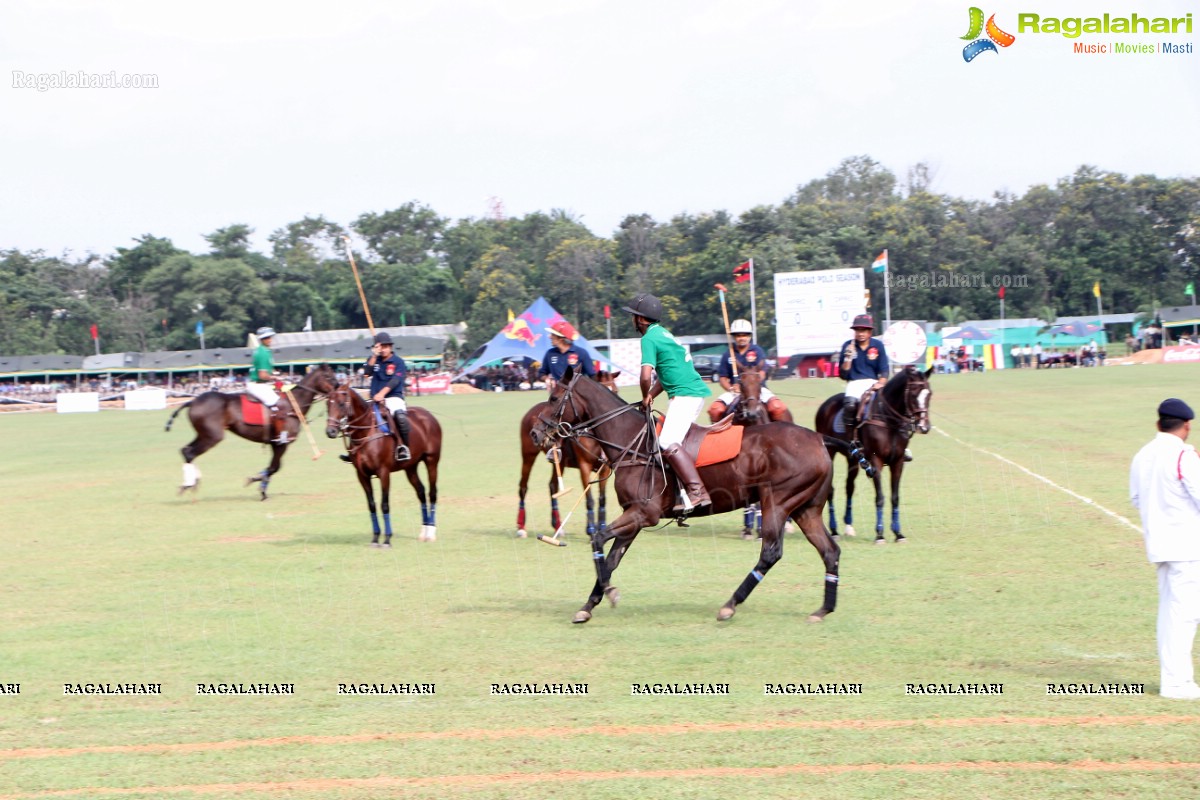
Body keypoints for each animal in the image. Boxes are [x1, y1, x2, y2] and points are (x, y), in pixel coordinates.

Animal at [162, 364, 336, 501]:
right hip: (213, 436)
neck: (294, 404)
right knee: (190, 452)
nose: (339, 390)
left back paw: (192, 482)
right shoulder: (282, 442)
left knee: (186, 450)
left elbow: (273, 467)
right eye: (329, 376)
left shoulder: (275, 443)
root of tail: (193, 401)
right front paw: (257, 483)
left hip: (203, 434)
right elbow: (273, 467)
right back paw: (190, 484)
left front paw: (260, 484)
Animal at [326, 381, 444, 544]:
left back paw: (431, 532)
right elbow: (372, 505)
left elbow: (385, 504)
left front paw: (387, 539)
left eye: (342, 404)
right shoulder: (362, 475)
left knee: (432, 493)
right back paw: (424, 531)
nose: (330, 432)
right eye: (327, 404)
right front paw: (375, 538)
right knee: (420, 491)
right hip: (410, 467)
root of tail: (428, 415)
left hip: (432, 460)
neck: (365, 432)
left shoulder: (384, 472)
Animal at [513, 371, 619, 542]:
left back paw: (558, 526)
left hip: (559, 462)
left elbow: (602, 499)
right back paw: (521, 528)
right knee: (523, 486)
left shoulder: (605, 469)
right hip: (528, 454)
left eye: (615, 390)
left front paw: (601, 528)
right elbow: (589, 499)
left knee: (552, 486)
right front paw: (591, 530)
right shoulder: (584, 466)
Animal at [530, 367, 840, 623]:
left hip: (777, 501)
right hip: (805, 508)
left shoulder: (644, 514)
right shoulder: (634, 516)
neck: (630, 443)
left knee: (771, 553)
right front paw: (588, 606)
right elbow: (612, 558)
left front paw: (610, 592)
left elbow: (597, 540)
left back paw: (729, 605)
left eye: (555, 397)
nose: (535, 433)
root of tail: (818, 439)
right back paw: (823, 609)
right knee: (830, 550)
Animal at [811, 367, 931, 544]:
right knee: (831, 489)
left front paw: (898, 533)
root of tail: (825, 405)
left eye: (929, 394)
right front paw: (880, 535)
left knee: (849, 487)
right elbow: (880, 497)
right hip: (830, 452)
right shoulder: (876, 461)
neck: (889, 421)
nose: (924, 427)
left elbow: (895, 497)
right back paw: (834, 530)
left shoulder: (898, 462)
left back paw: (848, 526)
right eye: (914, 393)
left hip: (852, 458)